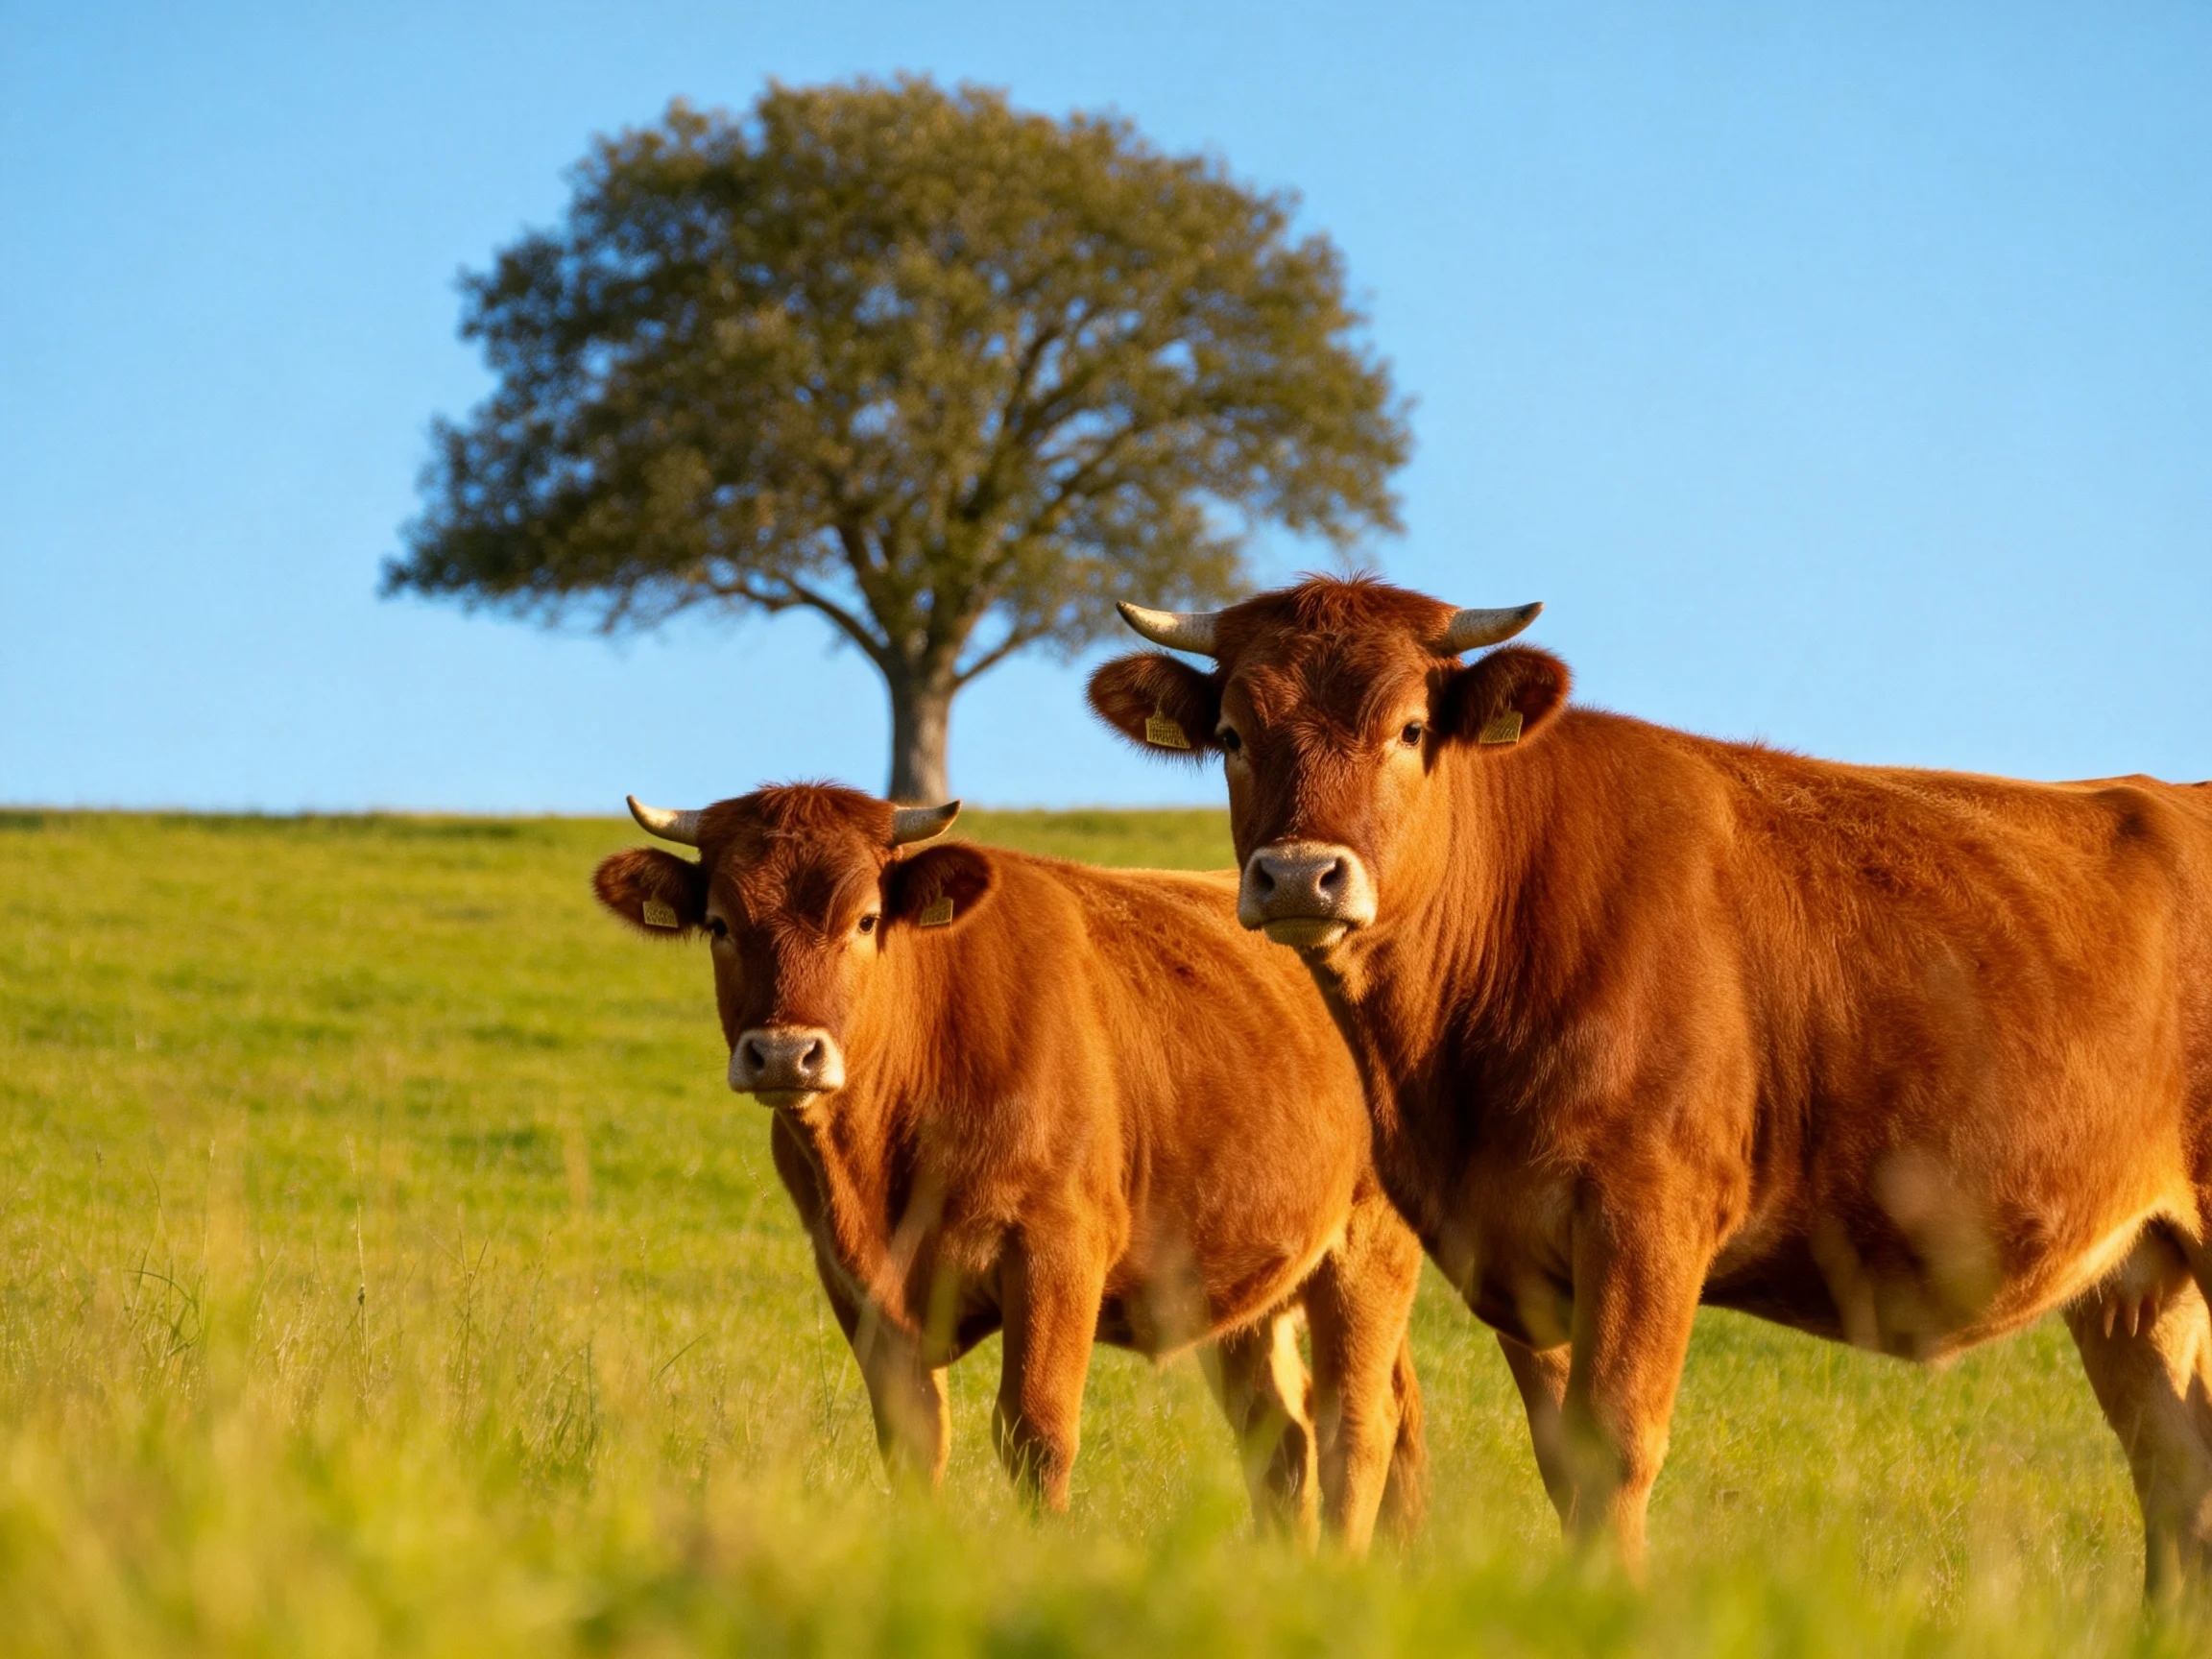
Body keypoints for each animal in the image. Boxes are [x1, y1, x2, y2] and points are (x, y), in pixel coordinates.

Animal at [592, 783, 1426, 1549]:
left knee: (1357, 1424)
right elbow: (914, 1440)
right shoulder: (851, 1277)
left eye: (865, 920)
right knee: (1283, 1436)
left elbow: (1036, 1431)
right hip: (1247, 1277)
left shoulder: (1056, 1249)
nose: (784, 1053)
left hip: (1368, 1246)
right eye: (720, 925)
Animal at [1089, 575, 2212, 1595]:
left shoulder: (1649, 1214)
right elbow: (1562, 1458)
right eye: (1232, 733)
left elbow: (1617, 1447)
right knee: (2176, 1468)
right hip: (2138, 1274)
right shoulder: (1512, 1244)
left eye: (1409, 729)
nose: (1298, 876)